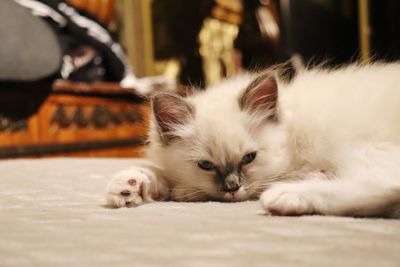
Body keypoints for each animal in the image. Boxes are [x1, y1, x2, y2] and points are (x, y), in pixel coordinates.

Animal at [106, 63, 400, 219]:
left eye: (249, 158)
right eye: (206, 165)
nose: (232, 188)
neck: (292, 132)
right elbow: (156, 172)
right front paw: (127, 188)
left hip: (367, 151)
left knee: (382, 184)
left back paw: (285, 197)